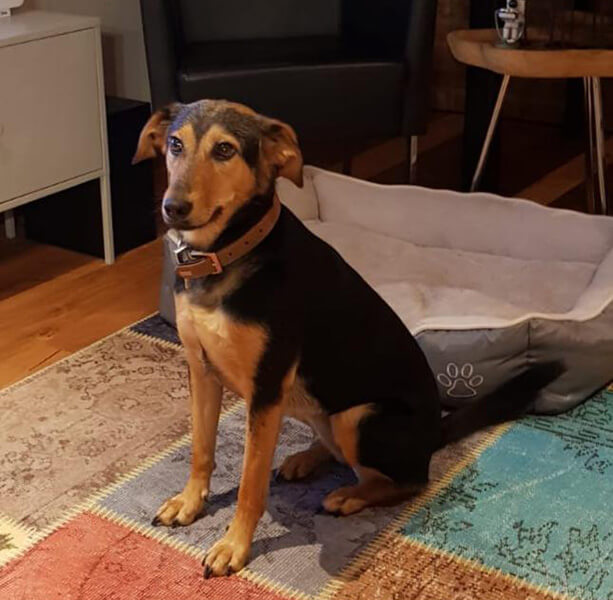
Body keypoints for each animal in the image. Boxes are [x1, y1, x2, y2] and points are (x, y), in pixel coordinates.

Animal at [132, 100, 561, 578]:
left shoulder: (266, 388)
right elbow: (201, 449)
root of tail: (435, 432)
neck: (227, 254)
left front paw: (233, 546)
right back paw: (305, 459)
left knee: (408, 481)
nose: (173, 207)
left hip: (359, 418)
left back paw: (349, 496)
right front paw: (189, 504)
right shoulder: (202, 370)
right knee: (340, 452)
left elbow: (250, 482)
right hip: (314, 408)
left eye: (225, 150)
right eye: (175, 144)